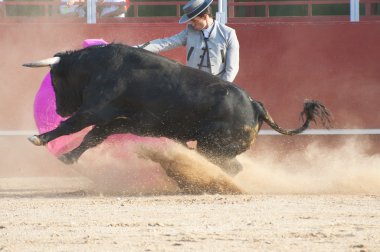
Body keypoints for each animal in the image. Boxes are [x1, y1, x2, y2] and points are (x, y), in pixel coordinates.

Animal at [24, 43, 332, 175]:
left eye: (55, 79)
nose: (61, 109)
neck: (96, 65)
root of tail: (255, 105)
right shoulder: (121, 121)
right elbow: (92, 137)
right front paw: (68, 158)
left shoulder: (95, 110)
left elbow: (73, 126)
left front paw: (38, 138)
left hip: (213, 146)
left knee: (232, 167)